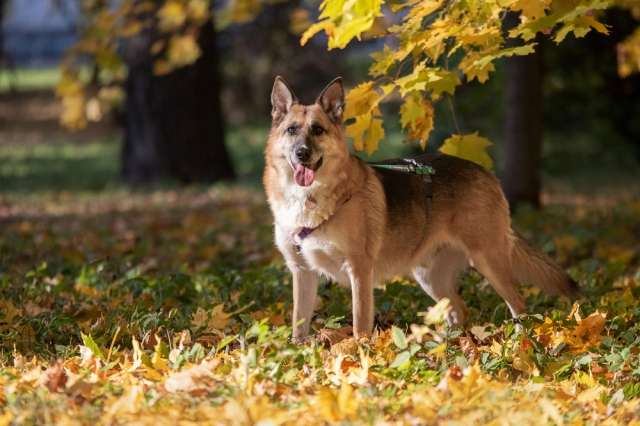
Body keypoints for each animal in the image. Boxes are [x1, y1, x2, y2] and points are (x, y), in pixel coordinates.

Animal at [262, 74, 576, 340]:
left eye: (318, 130)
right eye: (292, 130)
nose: (302, 153)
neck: (308, 199)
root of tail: (486, 172)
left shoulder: (359, 269)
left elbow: (360, 324)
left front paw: (359, 357)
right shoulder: (302, 272)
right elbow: (298, 325)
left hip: (488, 260)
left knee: (518, 303)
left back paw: (521, 343)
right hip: (429, 277)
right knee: (459, 309)